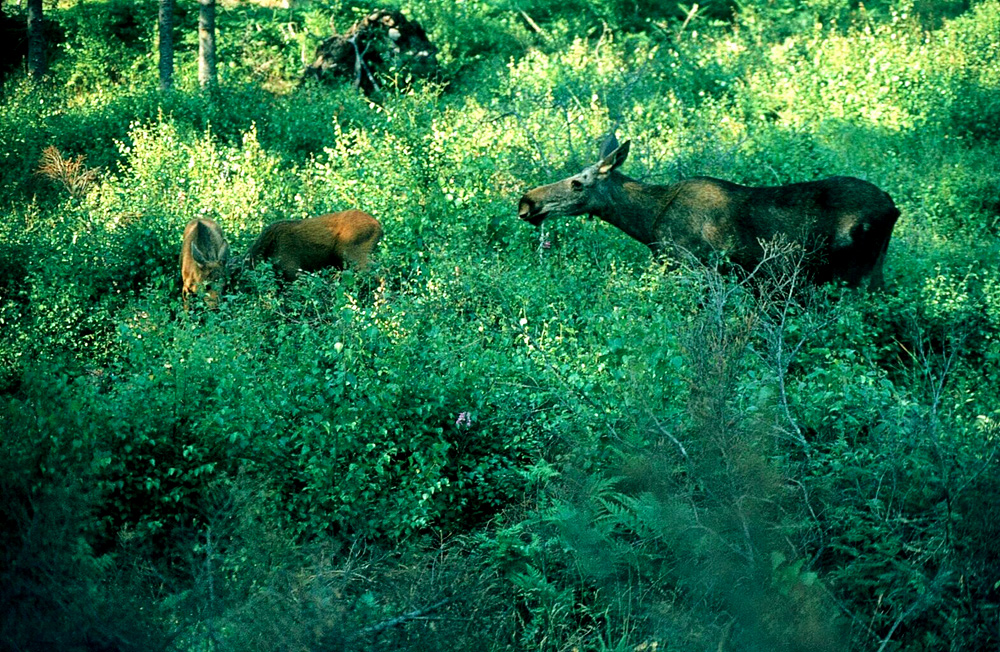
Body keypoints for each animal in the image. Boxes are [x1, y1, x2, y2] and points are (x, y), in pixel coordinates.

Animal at [520, 138, 904, 288]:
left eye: (577, 183)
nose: (527, 202)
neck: (646, 222)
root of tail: (894, 207)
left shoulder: (692, 265)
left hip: (856, 276)